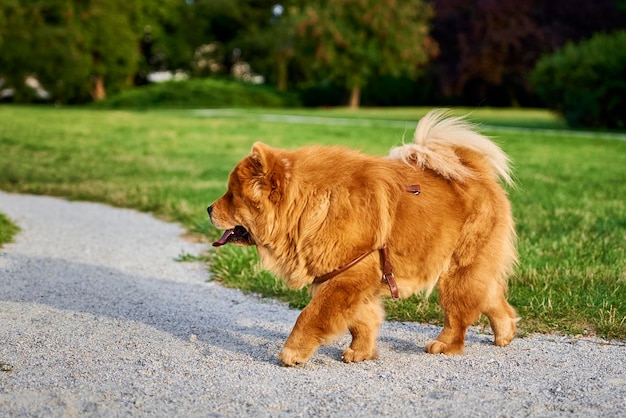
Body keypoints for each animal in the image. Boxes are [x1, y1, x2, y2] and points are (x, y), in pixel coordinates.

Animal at [210, 111, 516, 366]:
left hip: (458, 271)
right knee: (491, 298)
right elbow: (362, 322)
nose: (209, 208)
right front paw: (360, 352)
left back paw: (444, 345)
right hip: (469, 270)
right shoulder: (349, 279)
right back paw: (506, 333)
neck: (311, 206)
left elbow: (310, 316)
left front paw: (291, 353)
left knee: (458, 315)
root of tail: (476, 171)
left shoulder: (346, 277)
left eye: (232, 195)